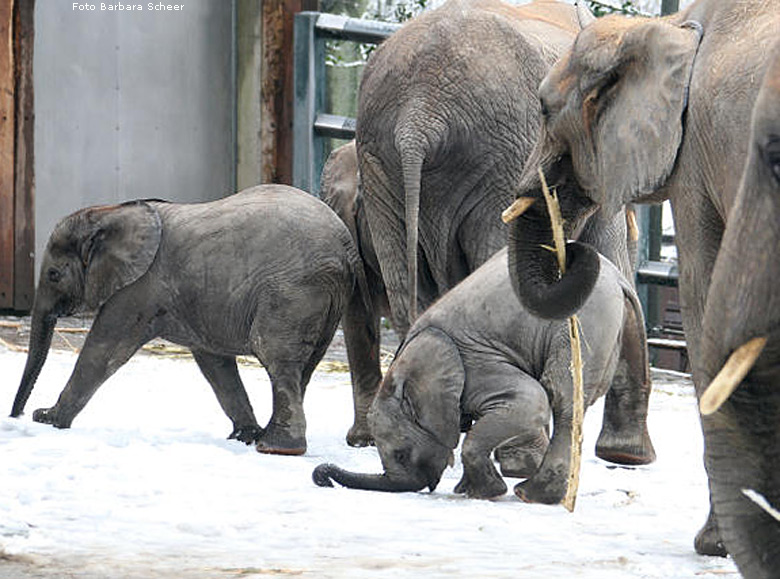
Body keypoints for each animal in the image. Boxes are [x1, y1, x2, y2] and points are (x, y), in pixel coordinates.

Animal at [10, 186, 368, 458]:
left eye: (53, 274)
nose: (17, 415)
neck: (112, 212)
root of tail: (345, 246)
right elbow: (214, 364)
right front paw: (242, 435)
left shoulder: (139, 286)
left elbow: (104, 350)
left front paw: (49, 419)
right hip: (324, 298)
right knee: (303, 366)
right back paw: (263, 437)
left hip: (293, 290)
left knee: (277, 358)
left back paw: (276, 448)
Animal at [314, 249, 656, 502]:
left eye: (400, 453)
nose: (322, 479)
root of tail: (619, 278)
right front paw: (467, 490)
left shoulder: (477, 363)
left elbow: (531, 402)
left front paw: (484, 493)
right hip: (620, 324)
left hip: (582, 323)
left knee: (562, 399)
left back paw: (532, 495)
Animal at [506, 3, 780, 576]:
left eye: (544, 109)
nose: (577, 250)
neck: (663, 25)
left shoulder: (696, 163)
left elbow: (705, 307)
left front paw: (713, 546)